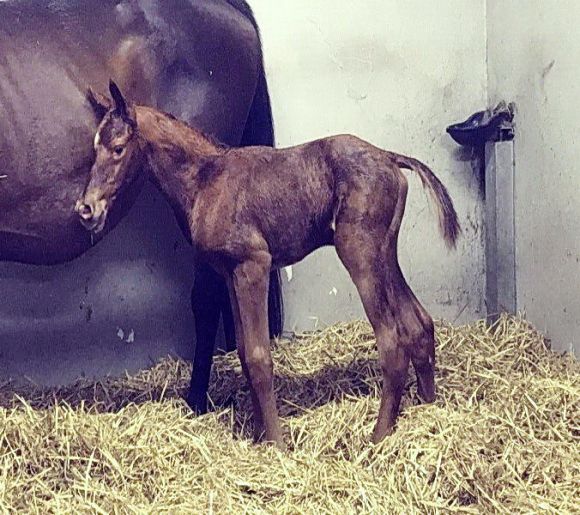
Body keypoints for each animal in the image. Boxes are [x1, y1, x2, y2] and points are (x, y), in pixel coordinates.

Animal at [77, 80, 460, 448]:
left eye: (118, 148)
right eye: (94, 148)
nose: (86, 210)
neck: (206, 182)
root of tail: (390, 157)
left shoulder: (254, 266)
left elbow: (260, 357)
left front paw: (276, 444)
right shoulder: (230, 273)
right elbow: (245, 353)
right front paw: (258, 435)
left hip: (359, 253)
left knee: (392, 339)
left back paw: (377, 437)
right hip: (384, 253)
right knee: (418, 323)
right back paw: (427, 406)